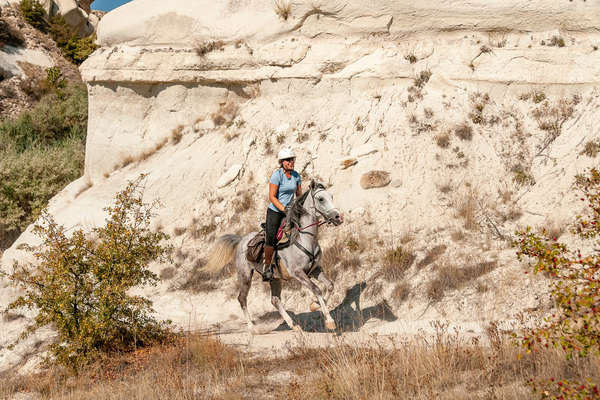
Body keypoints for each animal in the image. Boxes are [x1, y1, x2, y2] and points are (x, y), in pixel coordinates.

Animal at [204, 180, 342, 332]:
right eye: (321, 199)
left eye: (332, 196)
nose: (338, 217)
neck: (303, 239)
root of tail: (241, 240)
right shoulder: (298, 273)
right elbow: (316, 289)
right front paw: (329, 321)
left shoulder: (314, 270)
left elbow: (330, 285)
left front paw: (315, 305)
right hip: (245, 276)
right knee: (242, 298)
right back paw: (252, 328)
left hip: (274, 278)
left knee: (275, 300)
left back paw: (293, 325)